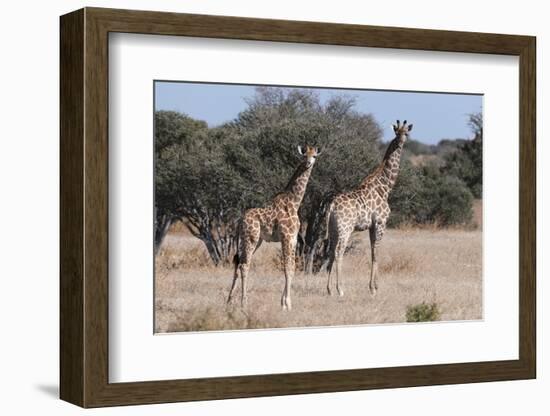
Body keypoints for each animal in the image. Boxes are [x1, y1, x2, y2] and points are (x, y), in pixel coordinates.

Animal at [229, 145, 324, 310]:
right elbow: (287, 268)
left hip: (252, 240)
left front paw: (284, 302)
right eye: (304, 155)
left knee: (238, 262)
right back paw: (243, 302)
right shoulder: (286, 236)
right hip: (251, 238)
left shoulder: (293, 239)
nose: (308, 163)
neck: (294, 202)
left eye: (314, 156)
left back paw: (229, 300)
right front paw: (286, 304)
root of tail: (240, 220)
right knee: (244, 265)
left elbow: (292, 267)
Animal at [326, 118, 412, 298]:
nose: (401, 142)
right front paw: (374, 288)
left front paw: (372, 286)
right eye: (397, 133)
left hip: (333, 229)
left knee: (330, 251)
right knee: (339, 252)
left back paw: (329, 289)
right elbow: (376, 252)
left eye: (406, 133)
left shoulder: (371, 226)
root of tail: (332, 205)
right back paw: (340, 289)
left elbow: (373, 251)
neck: (385, 187)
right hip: (345, 228)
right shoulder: (380, 223)